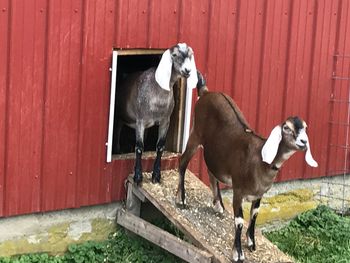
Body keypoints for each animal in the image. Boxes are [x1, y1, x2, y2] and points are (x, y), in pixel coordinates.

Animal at [115, 43, 197, 185]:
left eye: (190, 55)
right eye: (174, 55)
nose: (187, 70)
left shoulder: (165, 121)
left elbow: (160, 147)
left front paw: (156, 176)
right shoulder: (140, 121)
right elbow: (139, 147)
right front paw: (138, 177)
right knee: (119, 127)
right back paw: (118, 149)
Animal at [176, 86, 318, 262]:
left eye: (305, 127)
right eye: (286, 128)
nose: (303, 142)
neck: (260, 161)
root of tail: (206, 92)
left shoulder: (259, 194)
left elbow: (254, 215)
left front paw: (251, 243)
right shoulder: (238, 190)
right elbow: (239, 221)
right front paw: (238, 253)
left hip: (215, 152)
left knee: (211, 170)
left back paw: (218, 205)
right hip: (196, 134)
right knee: (183, 162)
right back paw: (181, 199)